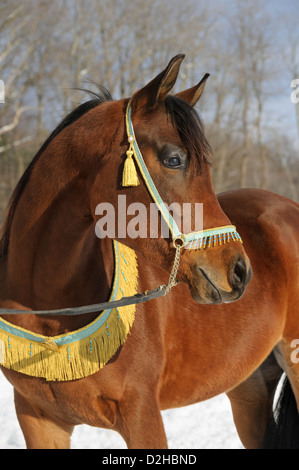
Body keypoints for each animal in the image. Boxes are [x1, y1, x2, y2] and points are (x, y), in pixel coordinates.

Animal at [0, 55, 298, 448]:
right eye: (174, 160)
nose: (240, 271)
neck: (49, 314)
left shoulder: (142, 414)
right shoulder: (38, 419)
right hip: (250, 387)